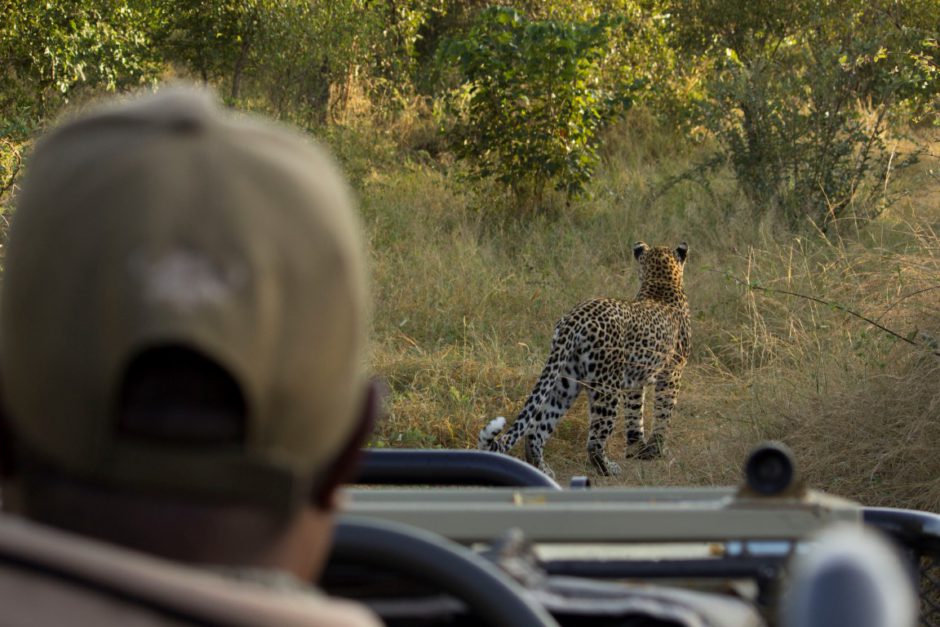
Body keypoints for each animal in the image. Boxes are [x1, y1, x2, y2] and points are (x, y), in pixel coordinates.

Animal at [478, 243, 692, 478]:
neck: (661, 282)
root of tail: (575, 318)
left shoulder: (636, 381)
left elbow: (635, 414)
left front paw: (637, 448)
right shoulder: (672, 372)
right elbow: (664, 411)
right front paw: (657, 449)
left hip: (565, 382)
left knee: (537, 428)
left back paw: (543, 469)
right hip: (606, 385)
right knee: (594, 440)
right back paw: (608, 468)